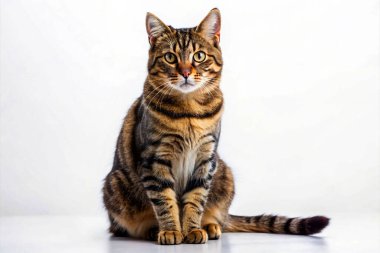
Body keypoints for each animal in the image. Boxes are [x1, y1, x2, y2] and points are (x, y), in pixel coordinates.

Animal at [101, 8, 330, 244]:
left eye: (199, 56)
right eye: (170, 57)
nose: (185, 72)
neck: (189, 111)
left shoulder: (205, 157)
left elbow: (196, 199)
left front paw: (192, 229)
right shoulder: (155, 159)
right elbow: (164, 201)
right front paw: (171, 230)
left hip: (224, 173)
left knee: (218, 216)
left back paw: (209, 226)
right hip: (115, 184)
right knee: (123, 226)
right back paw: (153, 229)